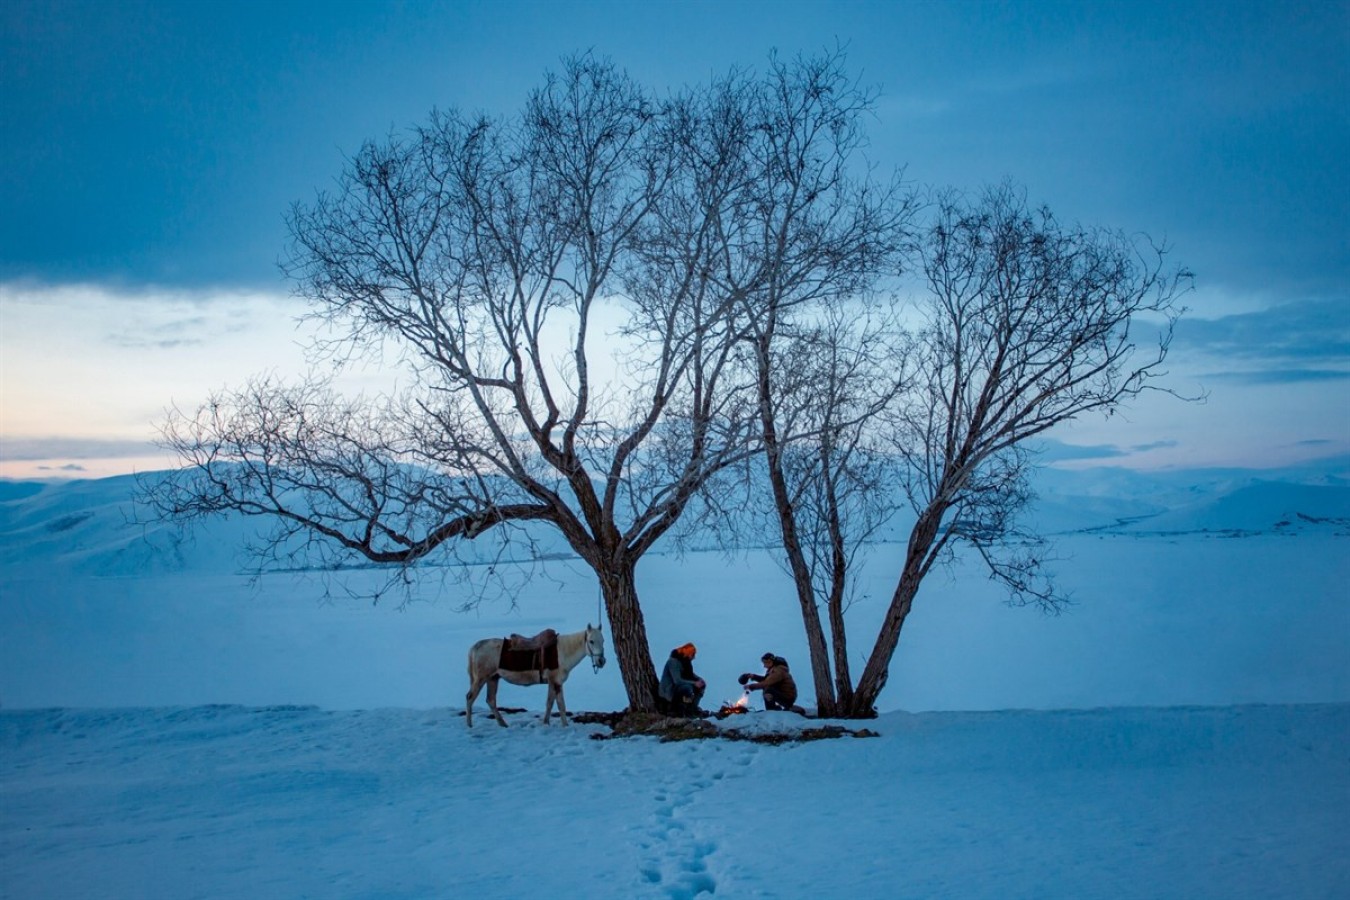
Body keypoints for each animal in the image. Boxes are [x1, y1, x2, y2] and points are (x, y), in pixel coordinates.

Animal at [467, 631, 610, 728]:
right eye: (591, 641)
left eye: (603, 640)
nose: (601, 661)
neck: (563, 652)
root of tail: (475, 647)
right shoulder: (557, 682)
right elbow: (561, 705)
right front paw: (565, 725)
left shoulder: (552, 682)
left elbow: (549, 703)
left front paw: (546, 723)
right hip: (481, 679)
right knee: (470, 697)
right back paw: (469, 725)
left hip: (493, 678)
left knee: (491, 700)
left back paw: (503, 724)